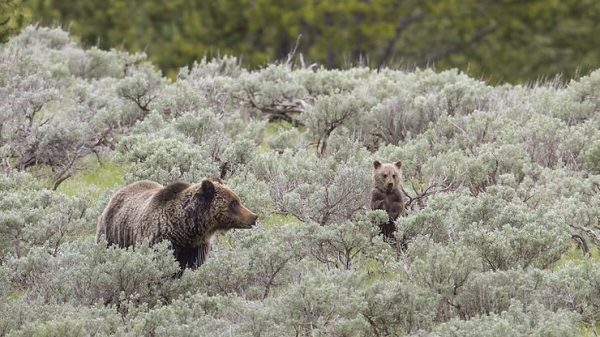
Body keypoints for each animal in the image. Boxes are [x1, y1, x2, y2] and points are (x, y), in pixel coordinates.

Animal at [97, 178, 256, 268]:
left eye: (237, 200)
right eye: (233, 203)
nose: (254, 216)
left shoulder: (196, 247)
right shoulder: (160, 240)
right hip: (112, 234)